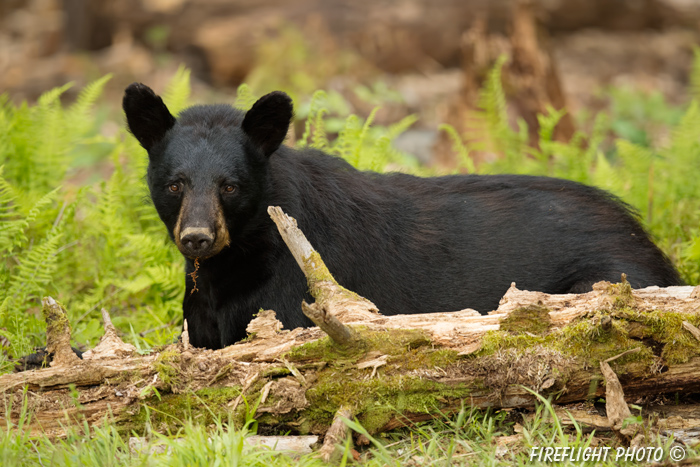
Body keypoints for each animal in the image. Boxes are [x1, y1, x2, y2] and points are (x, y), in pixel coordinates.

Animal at [123, 84, 680, 352]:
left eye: (230, 185)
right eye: (174, 183)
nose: (197, 238)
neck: (237, 257)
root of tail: (643, 234)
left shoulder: (286, 292)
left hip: (609, 275)